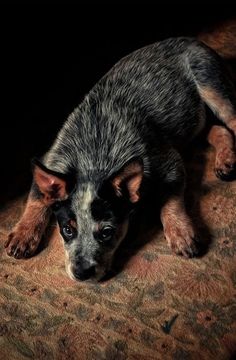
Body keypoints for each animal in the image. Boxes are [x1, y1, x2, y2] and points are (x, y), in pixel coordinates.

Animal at [4, 36, 236, 282]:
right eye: (67, 230)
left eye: (107, 232)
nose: (81, 273)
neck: (94, 158)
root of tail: (191, 39)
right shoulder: (51, 158)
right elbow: (37, 197)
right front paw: (22, 235)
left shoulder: (168, 161)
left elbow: (171, 199)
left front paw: (181, 233)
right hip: (195, 122)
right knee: (218, 129)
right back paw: (225, 161)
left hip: (210, 81)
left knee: (231, 120)